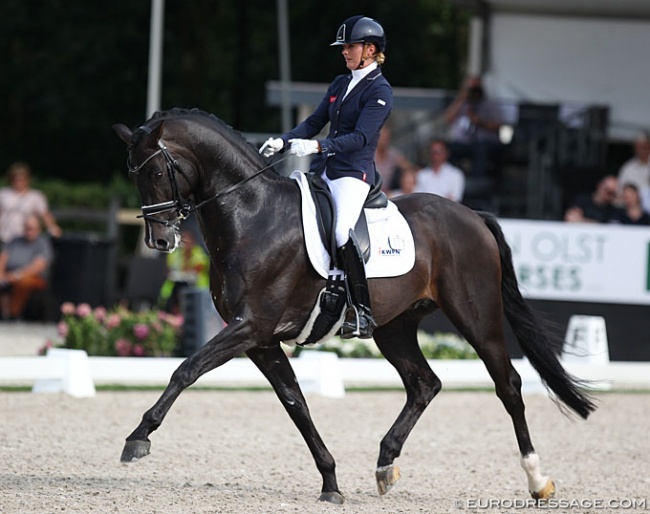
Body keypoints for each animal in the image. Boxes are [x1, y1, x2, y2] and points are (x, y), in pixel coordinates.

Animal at [112, 106, 592, 502]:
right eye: (134, 174)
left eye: (157, 173)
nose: (160, 241)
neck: (253, 216)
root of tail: (473, 216)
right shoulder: (261, 340)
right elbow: (296, 403)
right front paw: (330, 482)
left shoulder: (251, 326)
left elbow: (186, 369)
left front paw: (138, 438)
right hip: (393, 327)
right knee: (425, 384)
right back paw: (384, 466)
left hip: (476, 316)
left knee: (508, 384)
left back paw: (537, 480)